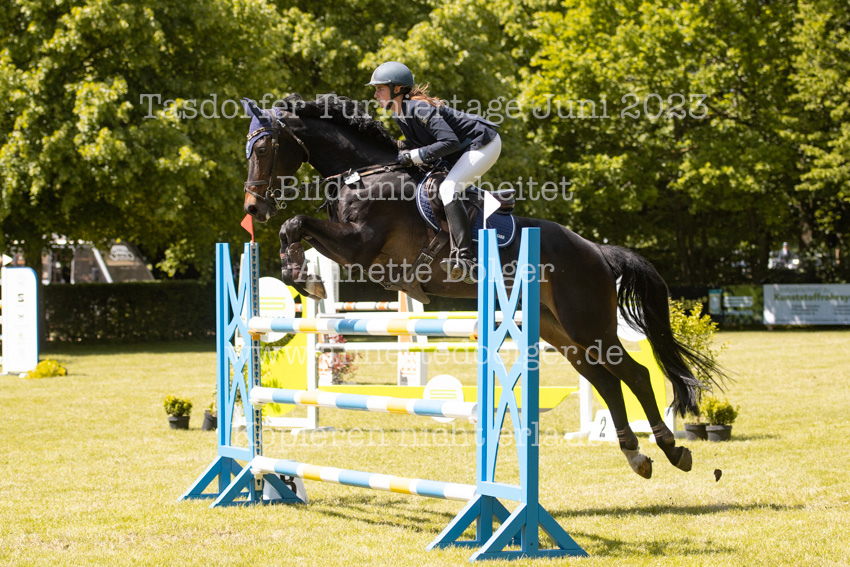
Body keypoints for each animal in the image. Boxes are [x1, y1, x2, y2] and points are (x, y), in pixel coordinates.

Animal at [240, 94, 722, 479]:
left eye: (262, 147)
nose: (253, 208)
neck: (365, 173)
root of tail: (597, 252)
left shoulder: (360, 246)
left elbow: (296, 223)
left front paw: (308, 279)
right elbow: (293, 228)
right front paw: (301, 273)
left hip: (589, 324)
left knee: (635, 374)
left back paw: (672, 449)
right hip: (561, 332)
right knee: (604, 379)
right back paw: (637, 456)